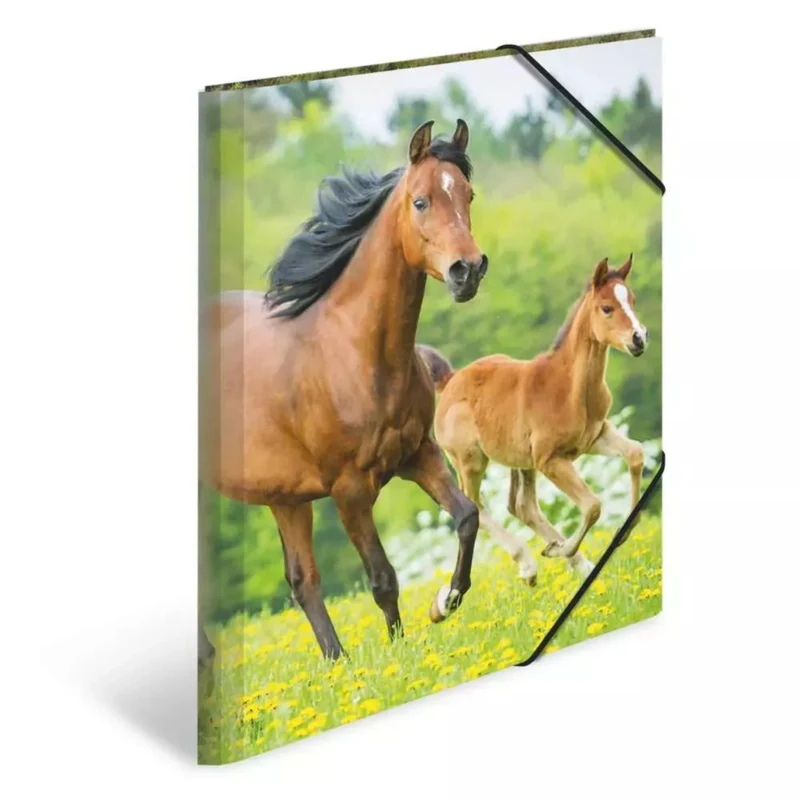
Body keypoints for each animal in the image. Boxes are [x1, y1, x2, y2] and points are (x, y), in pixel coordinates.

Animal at [200, 120, 489, 661]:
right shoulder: (349, 490)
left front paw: (444, 602)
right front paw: (399, 656)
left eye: (468, 194)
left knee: (303, 581)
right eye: (421, 201)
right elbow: (382, 577)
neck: (357, 354)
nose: (468, 270)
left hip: (285, 497)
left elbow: (466, 517)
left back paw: (339, 665)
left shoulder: (418, 454)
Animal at [419, 254, 647, 585]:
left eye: (631, 299)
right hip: (471, 461)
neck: (570, 387)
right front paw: (563, 549)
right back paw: (530, 564)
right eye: (607, 308)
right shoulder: (549, 459)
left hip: (520, 460)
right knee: (475, 506)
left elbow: (635, 454)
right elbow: (593, 505)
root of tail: (449, 382)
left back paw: (576, 562)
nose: (639, 339)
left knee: (521, 506)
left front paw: (625, 528)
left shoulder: (595, 436)